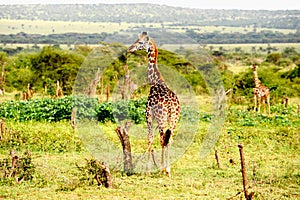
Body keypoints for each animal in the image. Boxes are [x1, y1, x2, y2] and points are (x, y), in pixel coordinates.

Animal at [127, 31, 180, 177]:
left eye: (140, 42)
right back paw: (168, 169)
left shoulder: (148, 115)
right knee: (169, 139)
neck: (155, 81)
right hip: (173, 119)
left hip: (162, 119)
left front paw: (147, 169)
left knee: (163, 139)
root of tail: (171, 105)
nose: (130, 49)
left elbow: (150, 138)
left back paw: (163, 169)